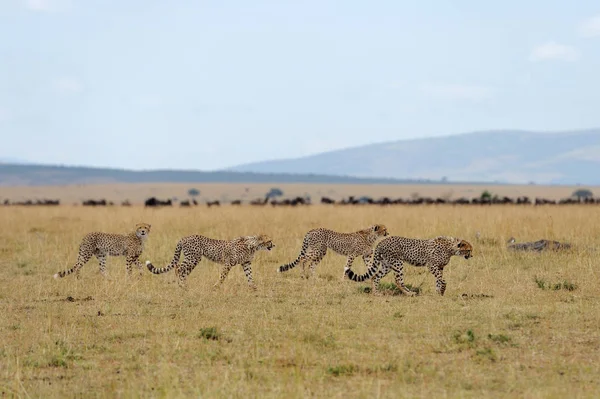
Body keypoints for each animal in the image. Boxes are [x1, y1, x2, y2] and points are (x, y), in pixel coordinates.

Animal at [146, 233, 276, 290]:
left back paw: (184, 285)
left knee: (183, 271)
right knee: (179, 268)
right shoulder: (228, 263)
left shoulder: (246, 263)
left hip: (193, 259)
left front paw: (253, 286)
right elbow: (222, 276)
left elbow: (250, 275)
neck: (253, 245)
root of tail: (184, 237)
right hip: (193, 258)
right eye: (269, 240)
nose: (274, 245)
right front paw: (216, 286)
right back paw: (181, 284)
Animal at [344, 234, 472, 296]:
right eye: (469, 250)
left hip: (387, 265)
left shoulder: (440, 267)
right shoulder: (432, 265)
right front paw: (442, 290)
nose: (471, 256)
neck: (451, 247)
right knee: (398, 280)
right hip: (398, 263)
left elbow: (438, 280)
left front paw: (438, 292)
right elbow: (442, 279)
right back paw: (409, 293)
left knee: (375, 277)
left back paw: (376, 293)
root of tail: (382, 241)